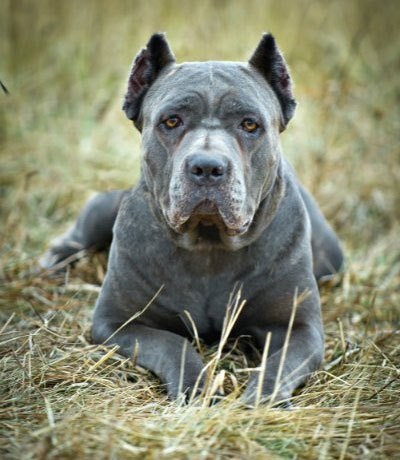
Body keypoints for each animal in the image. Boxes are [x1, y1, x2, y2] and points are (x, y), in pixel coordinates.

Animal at [40, 33, 342, 406]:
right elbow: (174, 345)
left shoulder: (299, 329)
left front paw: (260, 401)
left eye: (250, 124)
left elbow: (278, 366)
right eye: (171, 121)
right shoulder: (118, 323)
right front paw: (197, 388)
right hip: (102, 211)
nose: (208, 167)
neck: (208, 243)